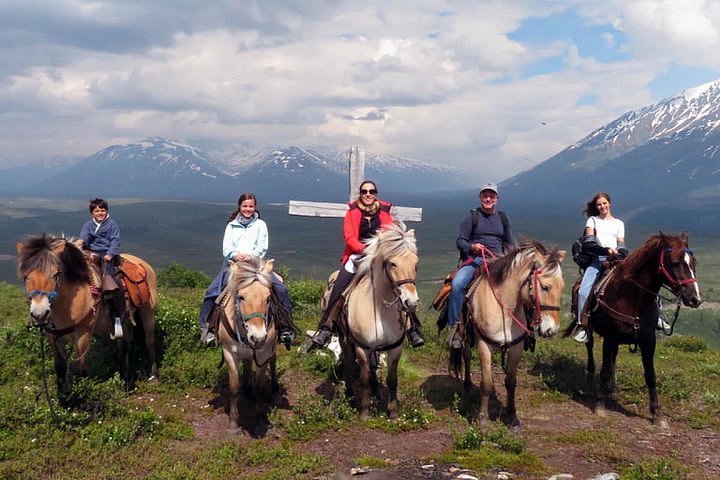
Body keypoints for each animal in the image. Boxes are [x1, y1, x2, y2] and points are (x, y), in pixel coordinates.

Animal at [215, 258, 278, 432]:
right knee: (248, 362)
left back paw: (273, 387)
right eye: (241, 297)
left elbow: (260, 387)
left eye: (268, 298)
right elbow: (233, 388)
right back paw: (247, 389)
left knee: (273, 360)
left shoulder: (263, 354)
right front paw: (233, 424)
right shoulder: (229, 352)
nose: (258, 337)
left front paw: (258, 420)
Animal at [456, 242, 568, 430]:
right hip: (465, 337)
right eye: (545, 287)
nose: (552, 330)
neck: (504, 308)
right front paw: (482, 419)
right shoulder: (484, 346)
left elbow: (510, 382)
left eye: (562, 287)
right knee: (466, 357)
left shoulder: (516, 348)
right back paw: (466, 389)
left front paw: (512, 417)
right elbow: (486, 384)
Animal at [564, 232, 700, 428]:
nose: (695, 299)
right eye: (675, 262)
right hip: (589, 327)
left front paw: (657, 414)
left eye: (693, 262)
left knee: (612, 358)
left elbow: (650, 375)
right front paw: (599, 405)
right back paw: (590, 376)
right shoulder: (610, 337)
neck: (633, 298)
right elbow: (604, 371)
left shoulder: (648, 340)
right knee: (590, 346)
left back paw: (612, 387)